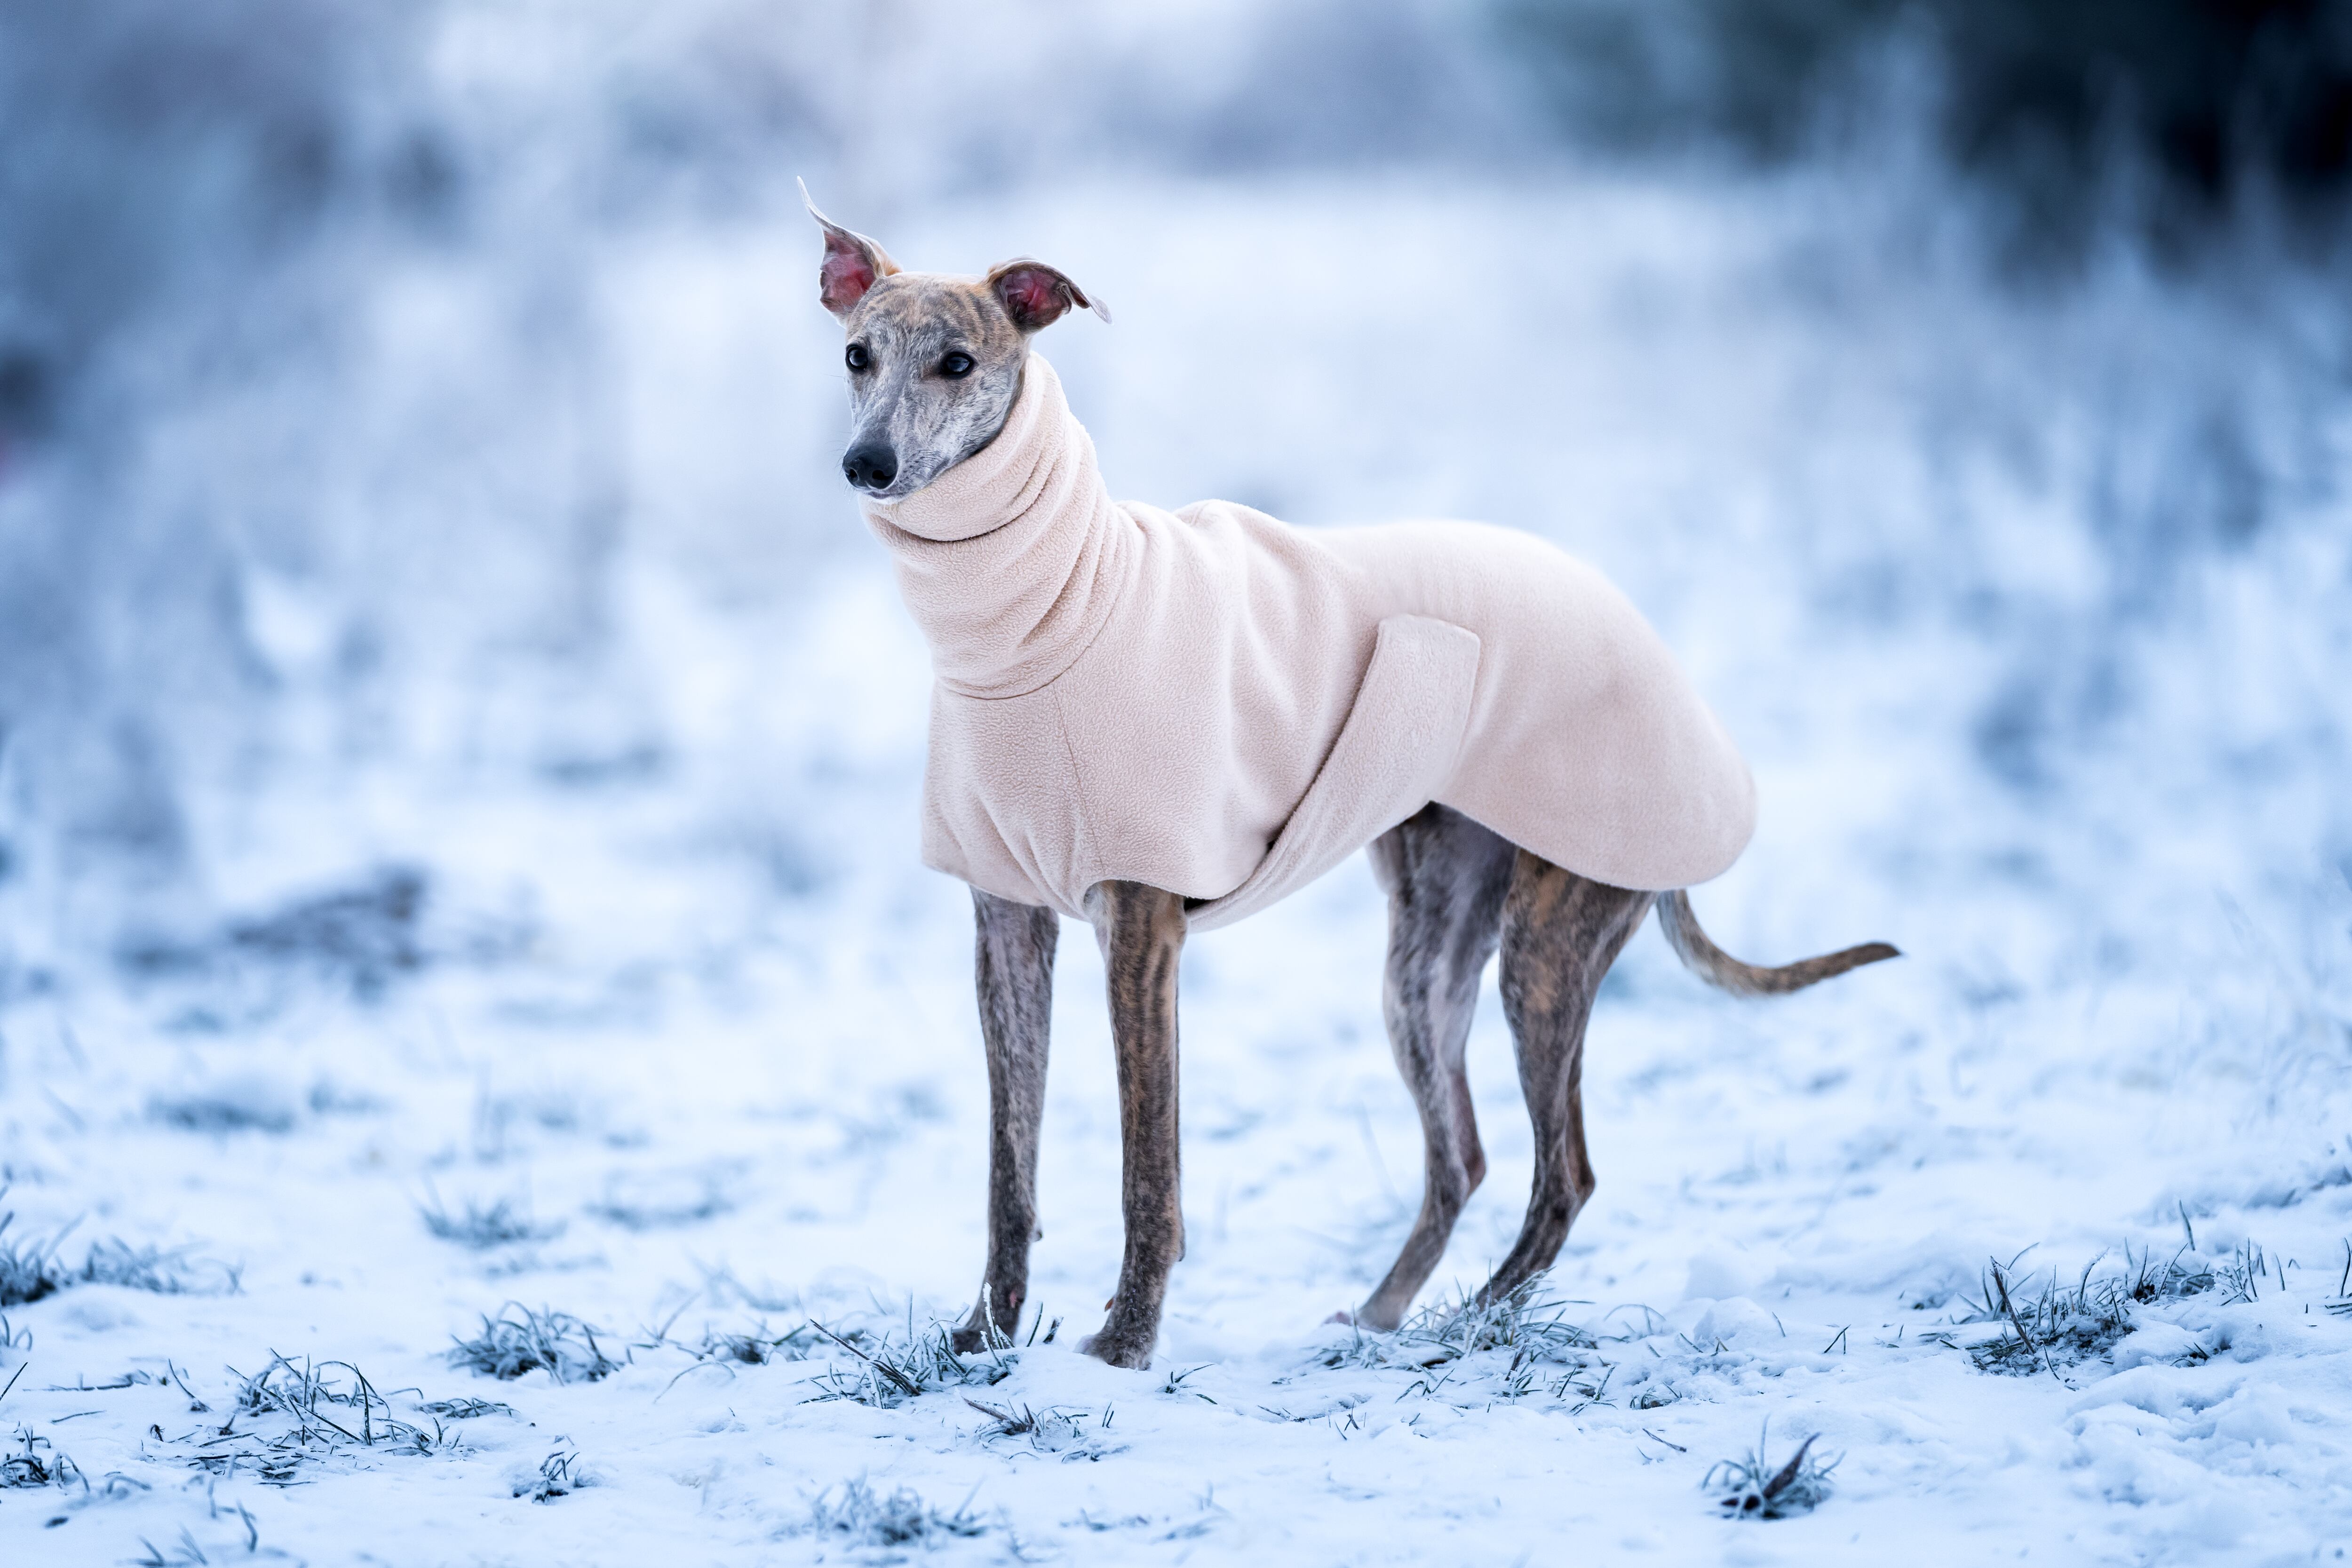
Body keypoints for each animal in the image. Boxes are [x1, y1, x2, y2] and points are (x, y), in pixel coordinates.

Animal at [800, 187, 1900, 1373]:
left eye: (956, 362)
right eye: (858, 355)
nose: (866, 464)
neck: (1044, 608)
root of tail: (1646, 639)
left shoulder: (1141, 931)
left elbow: (1151, 1171)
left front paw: (1124, 1347)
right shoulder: (1007, 924)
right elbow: (1013, 1165)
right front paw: (986, 1337)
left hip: (1545, 949)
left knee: (1563, 1172)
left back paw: (1471, 1322)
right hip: (1424, 962)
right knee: (1462, 1154)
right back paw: (1382, 1318)